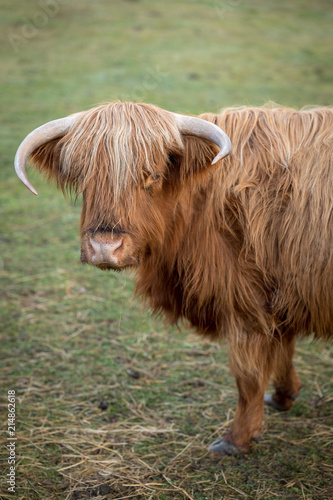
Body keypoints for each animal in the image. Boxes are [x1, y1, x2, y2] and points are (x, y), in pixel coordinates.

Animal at [14, 103, 332, 456]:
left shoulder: (245, 301)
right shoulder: (279, 294)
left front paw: (235, 439)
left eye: (153, 175)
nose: (105, 247)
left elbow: (247, 373)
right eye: (85, 177)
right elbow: (283, 348)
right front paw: (283, 396)